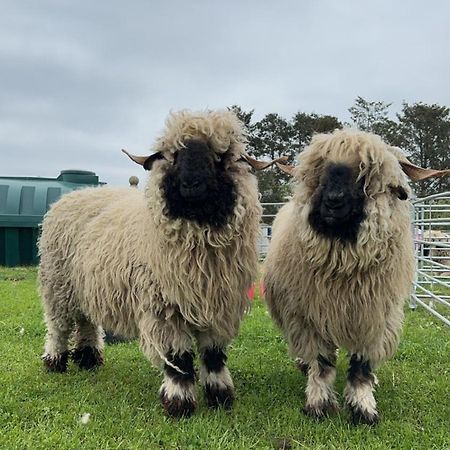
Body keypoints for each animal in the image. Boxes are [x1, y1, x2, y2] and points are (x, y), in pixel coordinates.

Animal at [38, 109, 280, 418]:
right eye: (173, 155)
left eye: (220, 155)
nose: (190, 184)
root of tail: (73, 195)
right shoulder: (162, 307)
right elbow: (178, 356)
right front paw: (179, 402)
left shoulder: (218, 305)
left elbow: (213, 355)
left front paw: (220, 396)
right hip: (58, 285)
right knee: (58, 326)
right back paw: (55, 362)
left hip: (86, 287)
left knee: (86, 322)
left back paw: (88, 359)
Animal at [264, 128, 450, 424]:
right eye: (321, 171)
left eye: (365, 174)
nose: (332, 201)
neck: (343, 265)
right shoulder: (310, 316)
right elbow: (322, 363)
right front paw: (318, 404)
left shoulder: (374, 317)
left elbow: (362, 367)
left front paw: (364, 408)